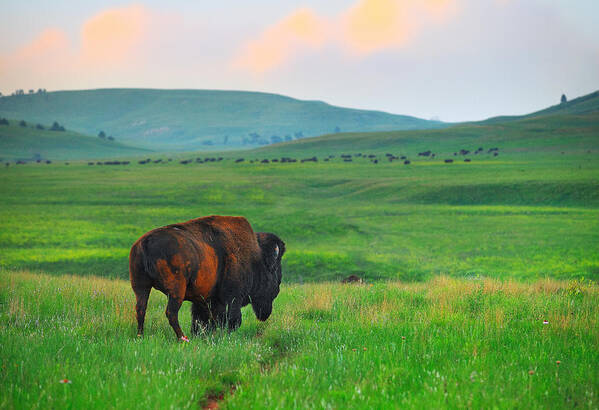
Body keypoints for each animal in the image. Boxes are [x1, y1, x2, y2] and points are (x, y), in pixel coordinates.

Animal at [128, 213, 286, 342]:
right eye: (274, 270)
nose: (278, 287)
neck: (256, 257)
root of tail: (145, 242)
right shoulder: (233, 297)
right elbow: (232, 319)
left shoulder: (204, 300)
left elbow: (202, 321)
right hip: (176, 290)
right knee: (171, 313)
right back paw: (183, 338)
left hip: (140, 286)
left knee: (141, 309)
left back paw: (140, 336)